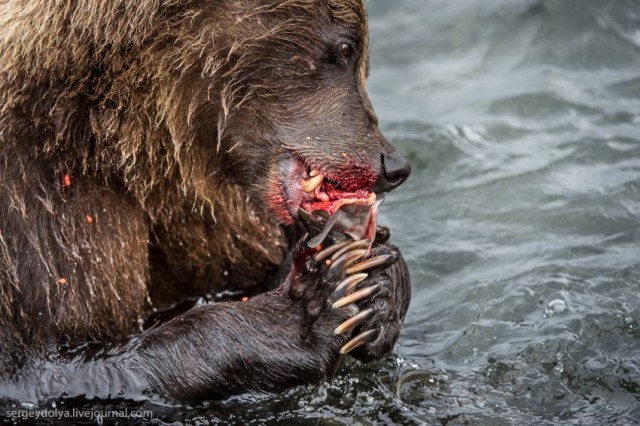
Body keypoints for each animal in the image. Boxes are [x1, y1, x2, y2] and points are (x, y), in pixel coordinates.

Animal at [0, 0, 410, 402]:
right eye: (346, 47)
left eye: (360, 54)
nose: (393, 165)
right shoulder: (34, 216)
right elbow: (44, 369)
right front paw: (313, 305)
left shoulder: (210, 212)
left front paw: (379, 282)